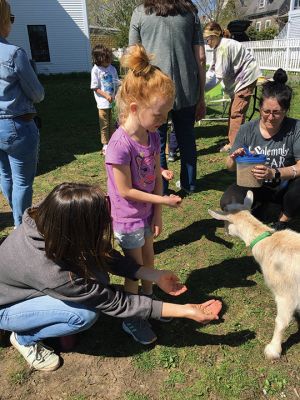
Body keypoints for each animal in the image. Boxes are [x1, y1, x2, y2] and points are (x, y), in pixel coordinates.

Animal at [209, 191, 300, 360]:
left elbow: (281, 322)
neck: (268, 242)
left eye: (225, 222)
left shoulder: (285, 293)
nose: (225, 232)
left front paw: (273, 350)